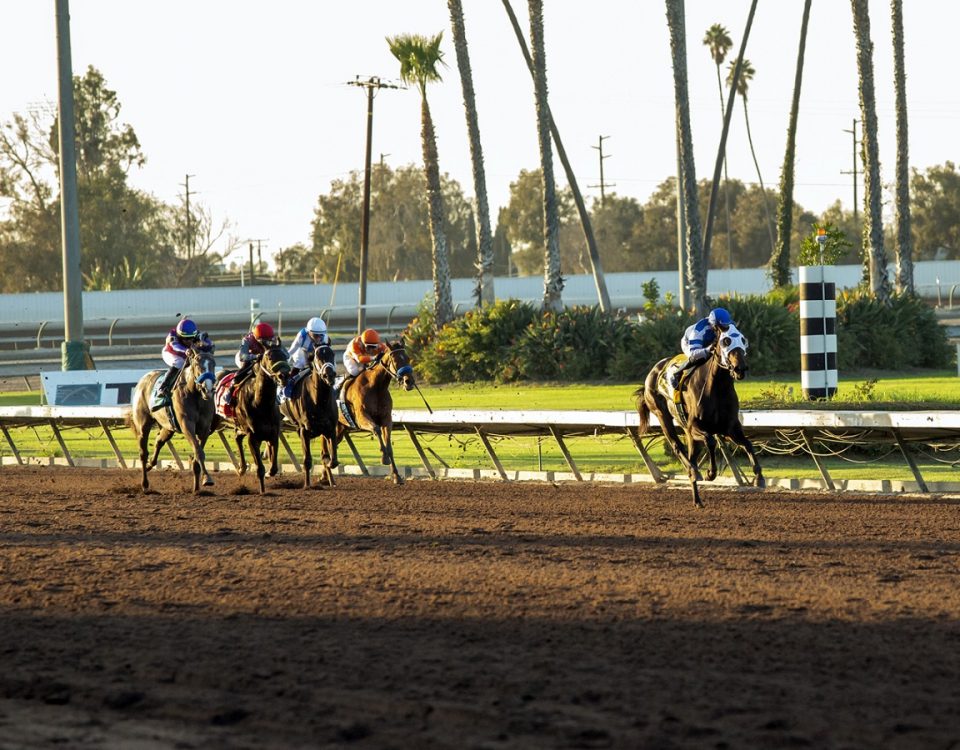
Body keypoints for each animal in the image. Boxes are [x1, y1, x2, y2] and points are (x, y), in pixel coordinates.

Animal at [127, 350, 216, 496]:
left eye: (213, 364)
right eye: (197, 364)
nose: (207, 389)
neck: (194, 394)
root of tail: (143, 379)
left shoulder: (204, 429)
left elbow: (198, 453)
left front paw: (197, 488)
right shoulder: (187, 425)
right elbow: (198, 452)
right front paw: (207, 478)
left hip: (168, 427)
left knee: (159, 441)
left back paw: (150, 464)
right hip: (143, 424)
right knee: (143, 453)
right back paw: (145, 484)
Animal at [218, 346, 290, 494]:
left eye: (285, 355)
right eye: (269, 356)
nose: (284, 375)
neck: (261, 403)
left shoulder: (273, 434)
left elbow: (273, 467)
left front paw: (269, 473)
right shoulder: (252, 437)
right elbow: (260, 468)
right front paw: (262, 491)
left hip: (240, 427)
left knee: (237, 438)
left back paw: (242, 468)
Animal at [280, 346, 340, 490]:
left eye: (332, 354)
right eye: (317, 357)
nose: (329, 375)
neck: (319, 400)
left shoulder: (330, 429)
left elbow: (332, 459)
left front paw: (328, 468)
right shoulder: (304, 431)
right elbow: (307, 460)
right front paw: (307, 485)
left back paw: (332, 481)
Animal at [336, 342, 414, 488]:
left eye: (407, 358)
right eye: (395, 360)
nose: (409, 382)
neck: (375, 386)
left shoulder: (386, 419)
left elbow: (389, 446)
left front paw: (396, 476)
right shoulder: (361, 418)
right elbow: (376, 429)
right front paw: (384, 458)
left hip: (340, 428)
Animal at [636, 326, 764, 508]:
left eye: (743, 339)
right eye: (726, 341)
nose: (740, 368)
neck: (717, 387)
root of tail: (653, 372)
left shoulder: (730, 428)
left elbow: (748, 444)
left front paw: (759, 478)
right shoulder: (695, 427)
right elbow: (710, 441)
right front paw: (710, 472)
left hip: (687, 432)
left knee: (690, 454)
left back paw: (697, 497)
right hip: (663, 416)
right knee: (677, 447)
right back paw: (694, 473)